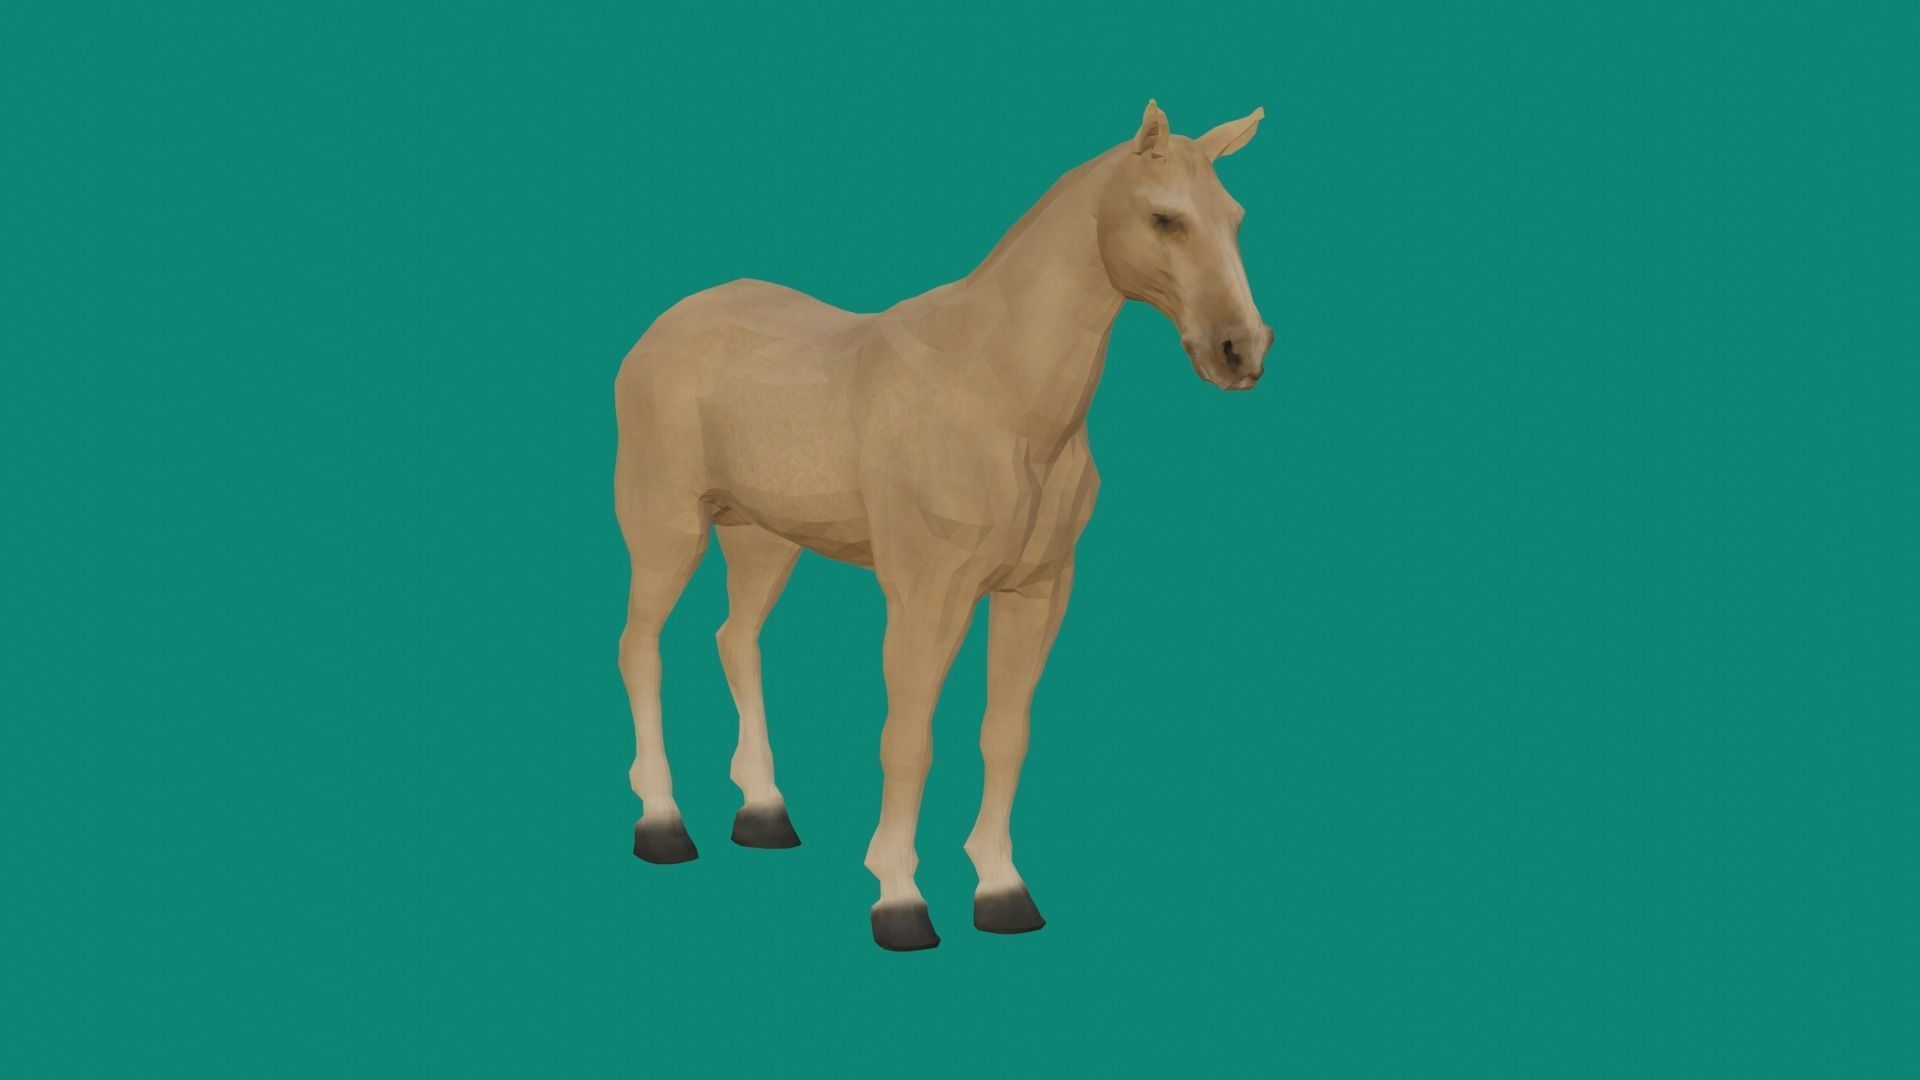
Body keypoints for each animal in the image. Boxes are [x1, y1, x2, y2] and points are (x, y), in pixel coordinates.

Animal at [613, 101, 1270, 950]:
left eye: (1235, 217)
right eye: (1165, 218)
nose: (1241, 350)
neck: (997, 396)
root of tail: (662, 328)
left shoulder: (1037, 593)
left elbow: (1005, 734)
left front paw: (1001, 890)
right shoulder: (927, 595)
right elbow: (909, 738)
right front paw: (898, 898)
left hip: (764, 540)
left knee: (736, 639)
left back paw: (763, 813)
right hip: (666, 530)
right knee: (641, 649)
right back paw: (662, 824)